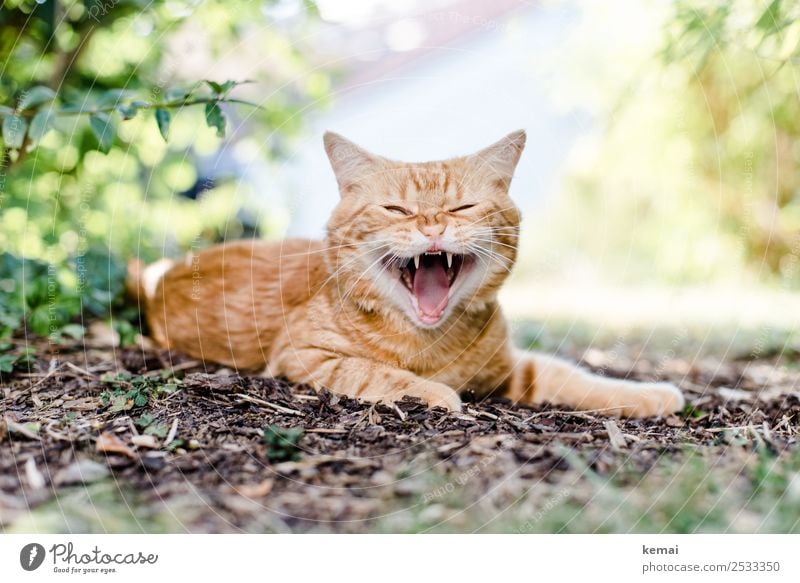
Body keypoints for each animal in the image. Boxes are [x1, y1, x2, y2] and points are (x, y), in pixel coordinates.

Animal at [130, 131, 680, 418]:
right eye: (397, 209)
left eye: (462, 207)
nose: (432, 224)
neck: (429, 338)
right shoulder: (304, 356)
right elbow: (381, 373)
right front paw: (439, 394)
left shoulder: (512, 371)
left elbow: (576, 375)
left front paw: (650, 394)